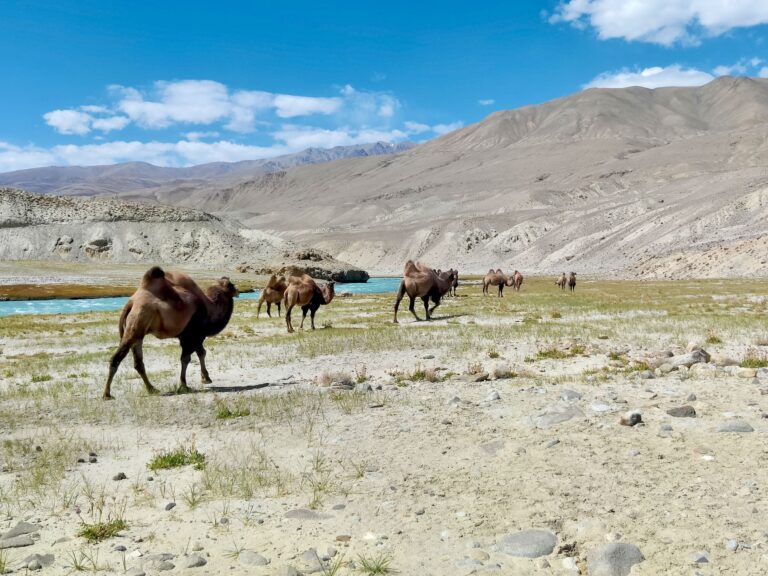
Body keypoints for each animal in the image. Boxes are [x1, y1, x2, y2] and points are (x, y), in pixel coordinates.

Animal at [103, 266, 239, 399]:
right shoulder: (192, 334)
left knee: (138, 363)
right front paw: (184, 385)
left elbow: (201, 353)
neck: (209, 308)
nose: (238, 291)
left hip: (138, 331)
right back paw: (107, 394)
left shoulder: (192, 336)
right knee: (116, 359)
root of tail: (131, 303)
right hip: (138, 322)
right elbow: (186, 358)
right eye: (232, 285)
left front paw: (206, 378)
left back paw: (152, 389)